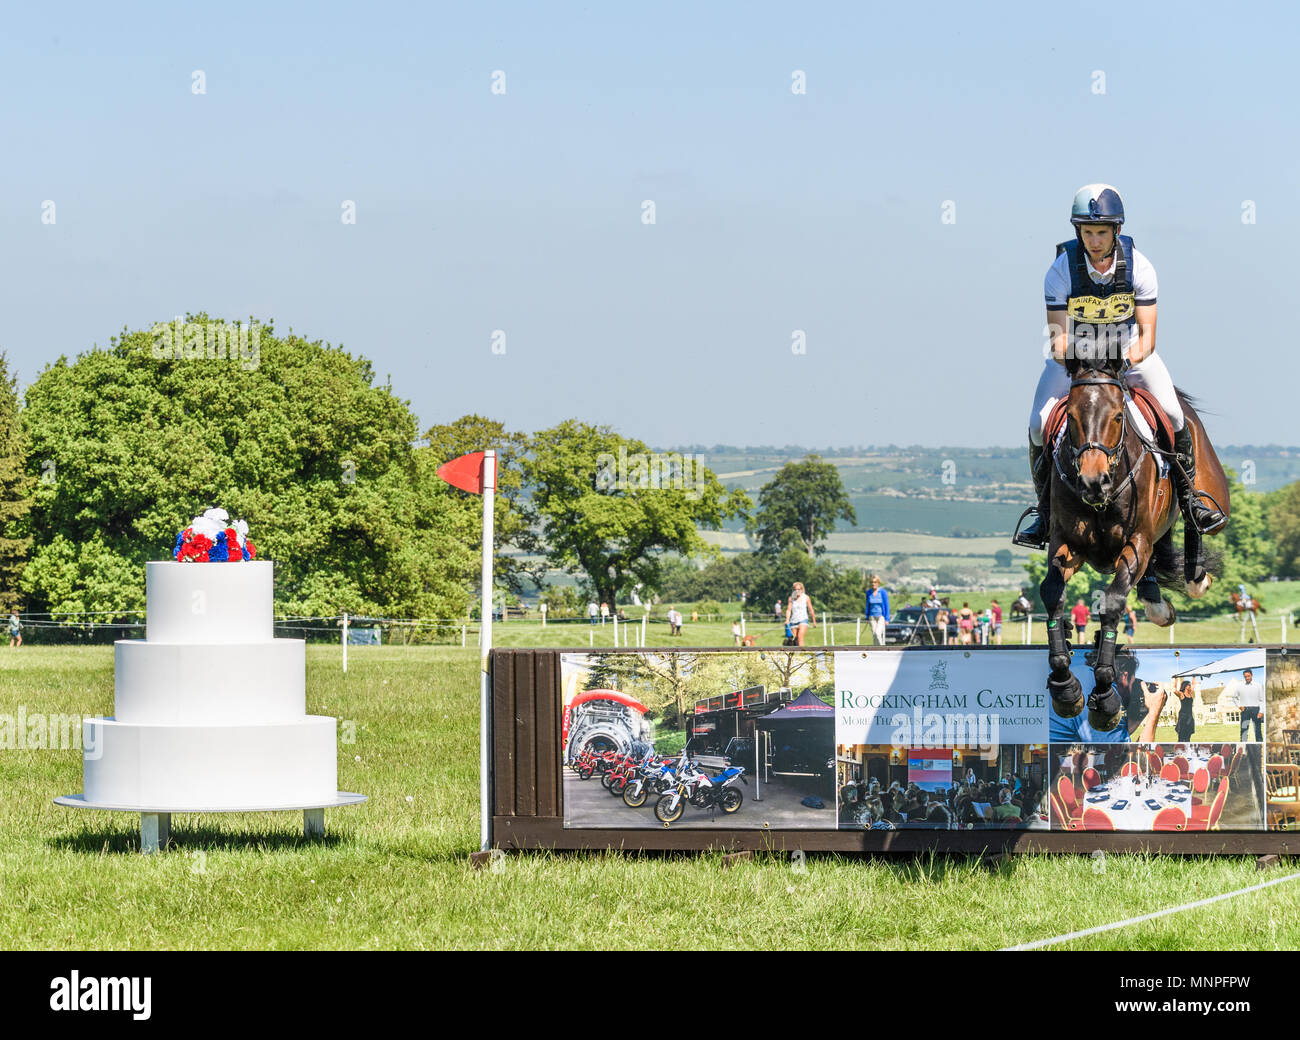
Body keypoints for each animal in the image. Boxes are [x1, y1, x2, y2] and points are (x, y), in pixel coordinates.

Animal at [1034, 348, 1227, 733]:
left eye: (1118, 416)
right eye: (1071, 418)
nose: (1093, 482)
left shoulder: (1136, 541)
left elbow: (1111, 604)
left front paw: (1105, 696)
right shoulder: (1067, 544)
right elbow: (1052, 593)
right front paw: (1065, 687)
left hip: (1210, 494)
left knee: (1193, 517)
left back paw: (1196, 571)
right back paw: (1155, 598)